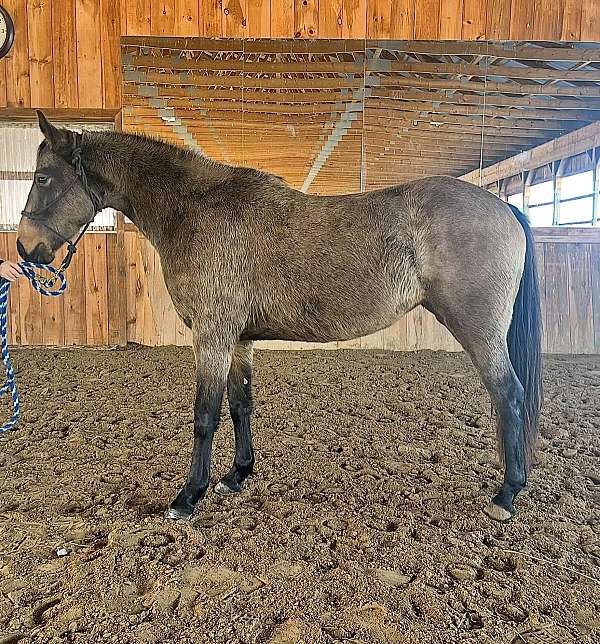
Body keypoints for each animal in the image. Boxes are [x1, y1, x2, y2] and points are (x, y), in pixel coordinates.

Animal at [18, 110, 544, 524]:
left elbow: (205, 415)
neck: (195, 210)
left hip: (479, 331)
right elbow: (240, 405)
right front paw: (237, 474)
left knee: (509, 395)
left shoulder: (211, 336)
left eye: (43, 177)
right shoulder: (237, 338)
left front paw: (188, 496)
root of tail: (504, 207)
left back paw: (506, 494)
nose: (25, 248)